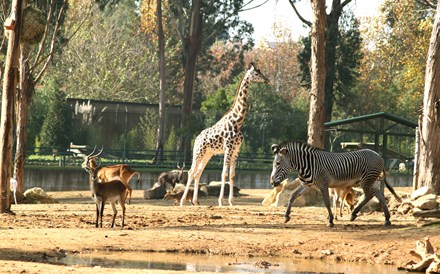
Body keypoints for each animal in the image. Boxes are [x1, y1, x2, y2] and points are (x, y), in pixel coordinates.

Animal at [179, 63, 268, 207]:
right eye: (256, 74)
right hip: (198, 152)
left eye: (261, 72)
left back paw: (196, 201)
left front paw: (231, 202)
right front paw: (221, 201)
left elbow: (232, 175)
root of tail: (196, 139)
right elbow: (224, 174)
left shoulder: (236, 150)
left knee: (198, 173)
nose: (267, 80)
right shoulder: (228, 149)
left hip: (208, 154)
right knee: (191, 172)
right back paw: (182, 201)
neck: (237, 122)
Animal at [268, 141, 402, 227]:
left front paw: (331, 221)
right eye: (274, 164)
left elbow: (327, 202)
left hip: (366, 180)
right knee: (379, 194)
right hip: (371, 180)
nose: (272, 182)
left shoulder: (323, 184)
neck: (308, 165)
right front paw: (286, 216)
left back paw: (354, 214)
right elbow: (292, 196)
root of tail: (379, 156)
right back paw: (387, 219)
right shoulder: (306, 185)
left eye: (278, 163)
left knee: (369, 195)